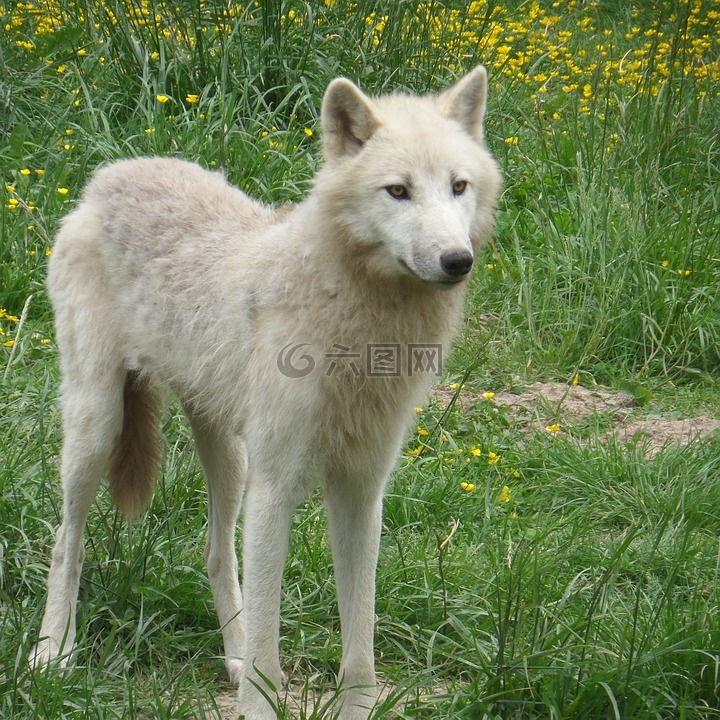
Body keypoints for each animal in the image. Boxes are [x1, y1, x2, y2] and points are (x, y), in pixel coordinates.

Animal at [29, 69, 500, 720]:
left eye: (458, 186)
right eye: (398, 191)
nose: (458, 260)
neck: (359, 331)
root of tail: (109, 174)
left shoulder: (361, 488)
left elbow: (359, 641)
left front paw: (352, 703)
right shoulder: (277, 486)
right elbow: (268, 643)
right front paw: (259, 700)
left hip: (228, 457)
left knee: (216, 554)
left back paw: (228, 655)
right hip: (99, 428)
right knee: (64, 541)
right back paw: (53, 652)